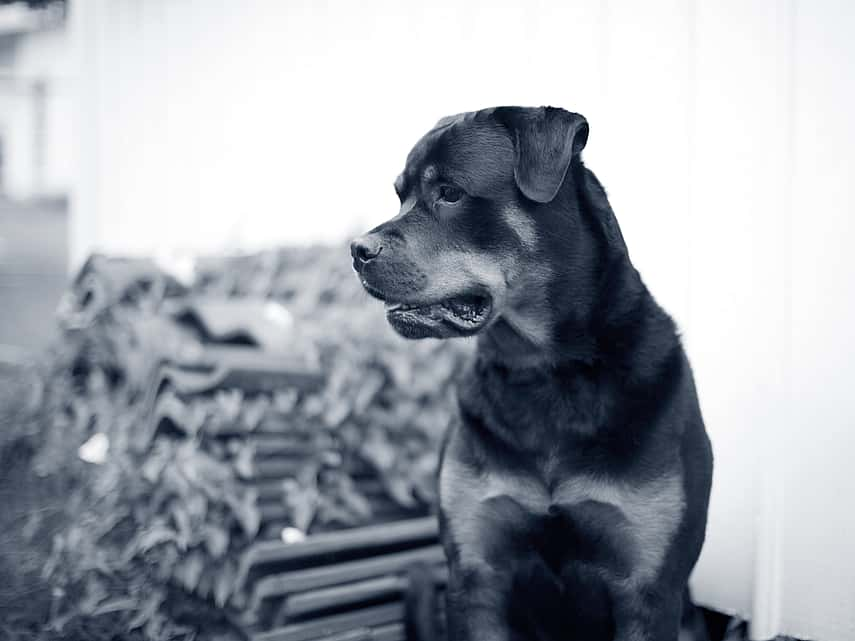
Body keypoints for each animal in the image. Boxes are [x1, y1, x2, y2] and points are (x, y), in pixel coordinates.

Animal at [352, 107, 712, 640]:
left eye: (450, 192)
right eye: (401, 195)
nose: (357, 250)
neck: (544, 373)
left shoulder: (648, 590)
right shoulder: (476, 577)